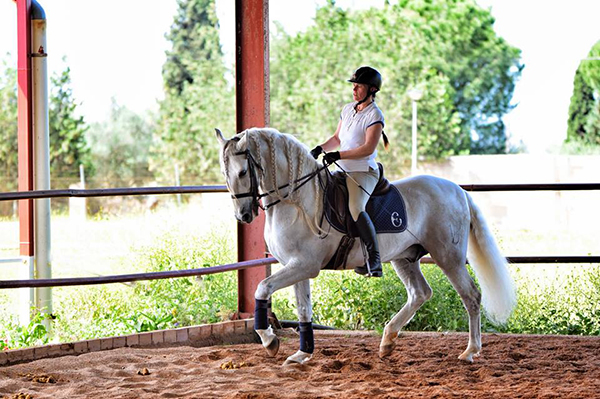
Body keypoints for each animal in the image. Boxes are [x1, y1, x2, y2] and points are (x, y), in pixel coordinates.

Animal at [216, 127, 516, 366]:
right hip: (405, 258)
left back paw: (470, 351)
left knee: (471, 296)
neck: (297, 201)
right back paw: (388, 342)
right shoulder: (296, 267)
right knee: (420, 293)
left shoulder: (304, 266)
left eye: (243, 171)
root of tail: (458, 190)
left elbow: (262, 288)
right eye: (225, 173)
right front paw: (302, 354)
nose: (243, 215)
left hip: (448, 256)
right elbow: (303, 310)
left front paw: (270, 341)